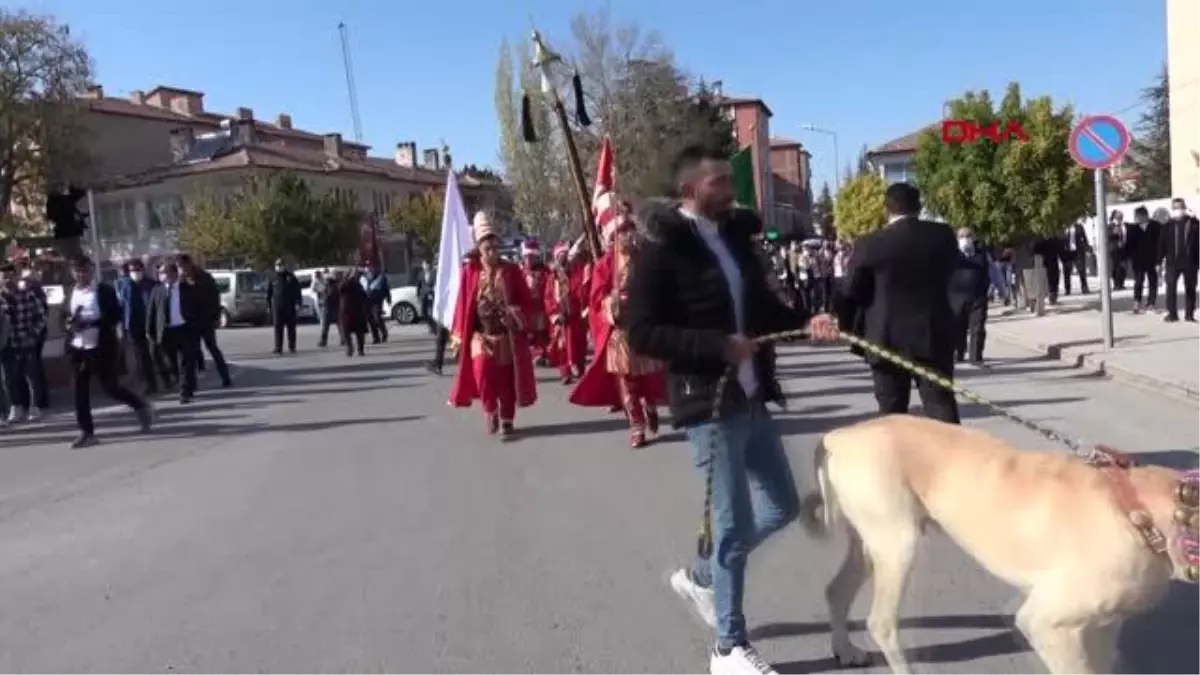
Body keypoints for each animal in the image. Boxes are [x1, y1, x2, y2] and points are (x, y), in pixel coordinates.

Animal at [796, 413, 1190, 667]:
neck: (1138, 510)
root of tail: (841, 435)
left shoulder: (1102, 627)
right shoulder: (1045, 624)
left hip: (869, 542)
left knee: (837, 591)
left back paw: (844, 650)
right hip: (898, 545)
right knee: (881, 623)